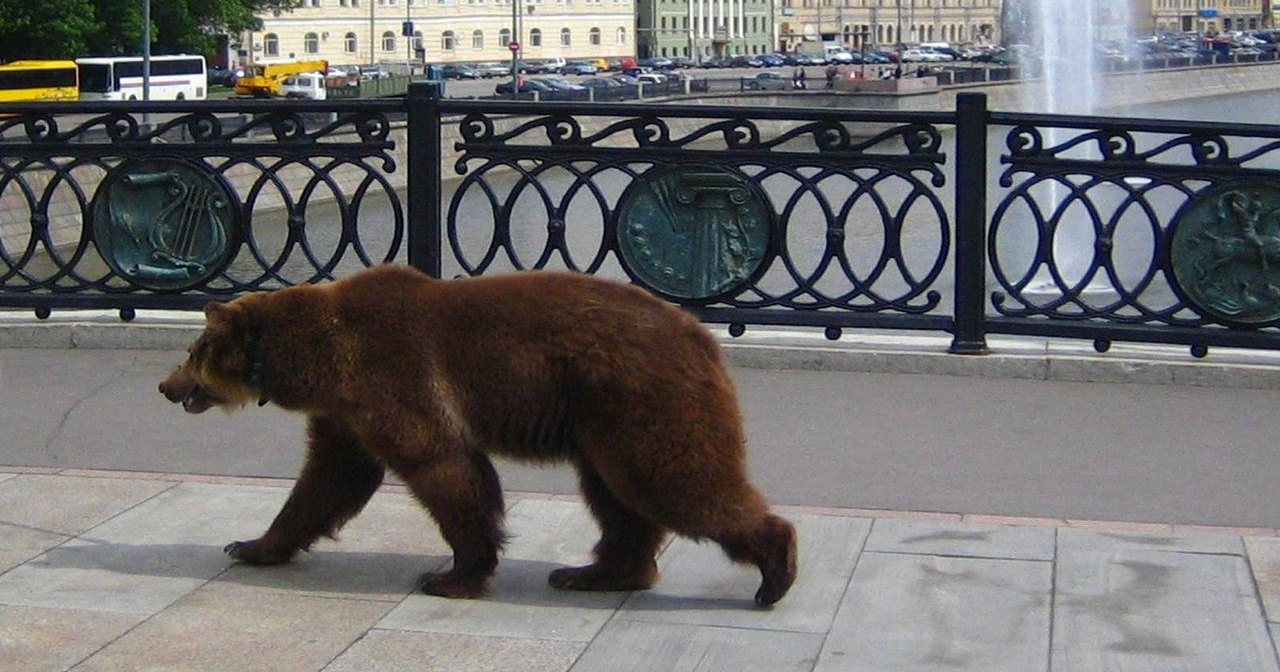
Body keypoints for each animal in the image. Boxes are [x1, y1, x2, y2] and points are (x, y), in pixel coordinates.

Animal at [158, 264, 793, 604]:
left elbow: (444, 468)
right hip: (604, 424)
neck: (318, 359)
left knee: (673, 481)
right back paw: (595, 572)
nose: (166, 386)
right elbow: (327, 480)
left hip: (639, 400)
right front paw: (252, 544)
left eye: (194, 349)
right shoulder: (346, 414)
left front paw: (450, 573)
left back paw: (775, 569)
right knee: (618, 500)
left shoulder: (393, 375)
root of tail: (700, 335)